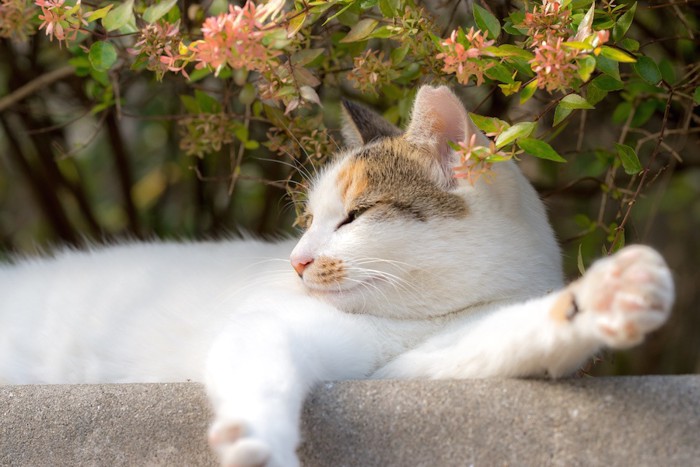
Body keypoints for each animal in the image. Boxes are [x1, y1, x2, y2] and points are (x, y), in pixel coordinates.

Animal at [1, 85, 680, 467]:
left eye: (353, 216)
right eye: (307, 220)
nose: (297, 260)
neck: (413, 319)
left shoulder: (413, 366)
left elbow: (500, 341)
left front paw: (605, 298)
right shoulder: (268, 326)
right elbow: (263, 365)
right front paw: (258, 438)